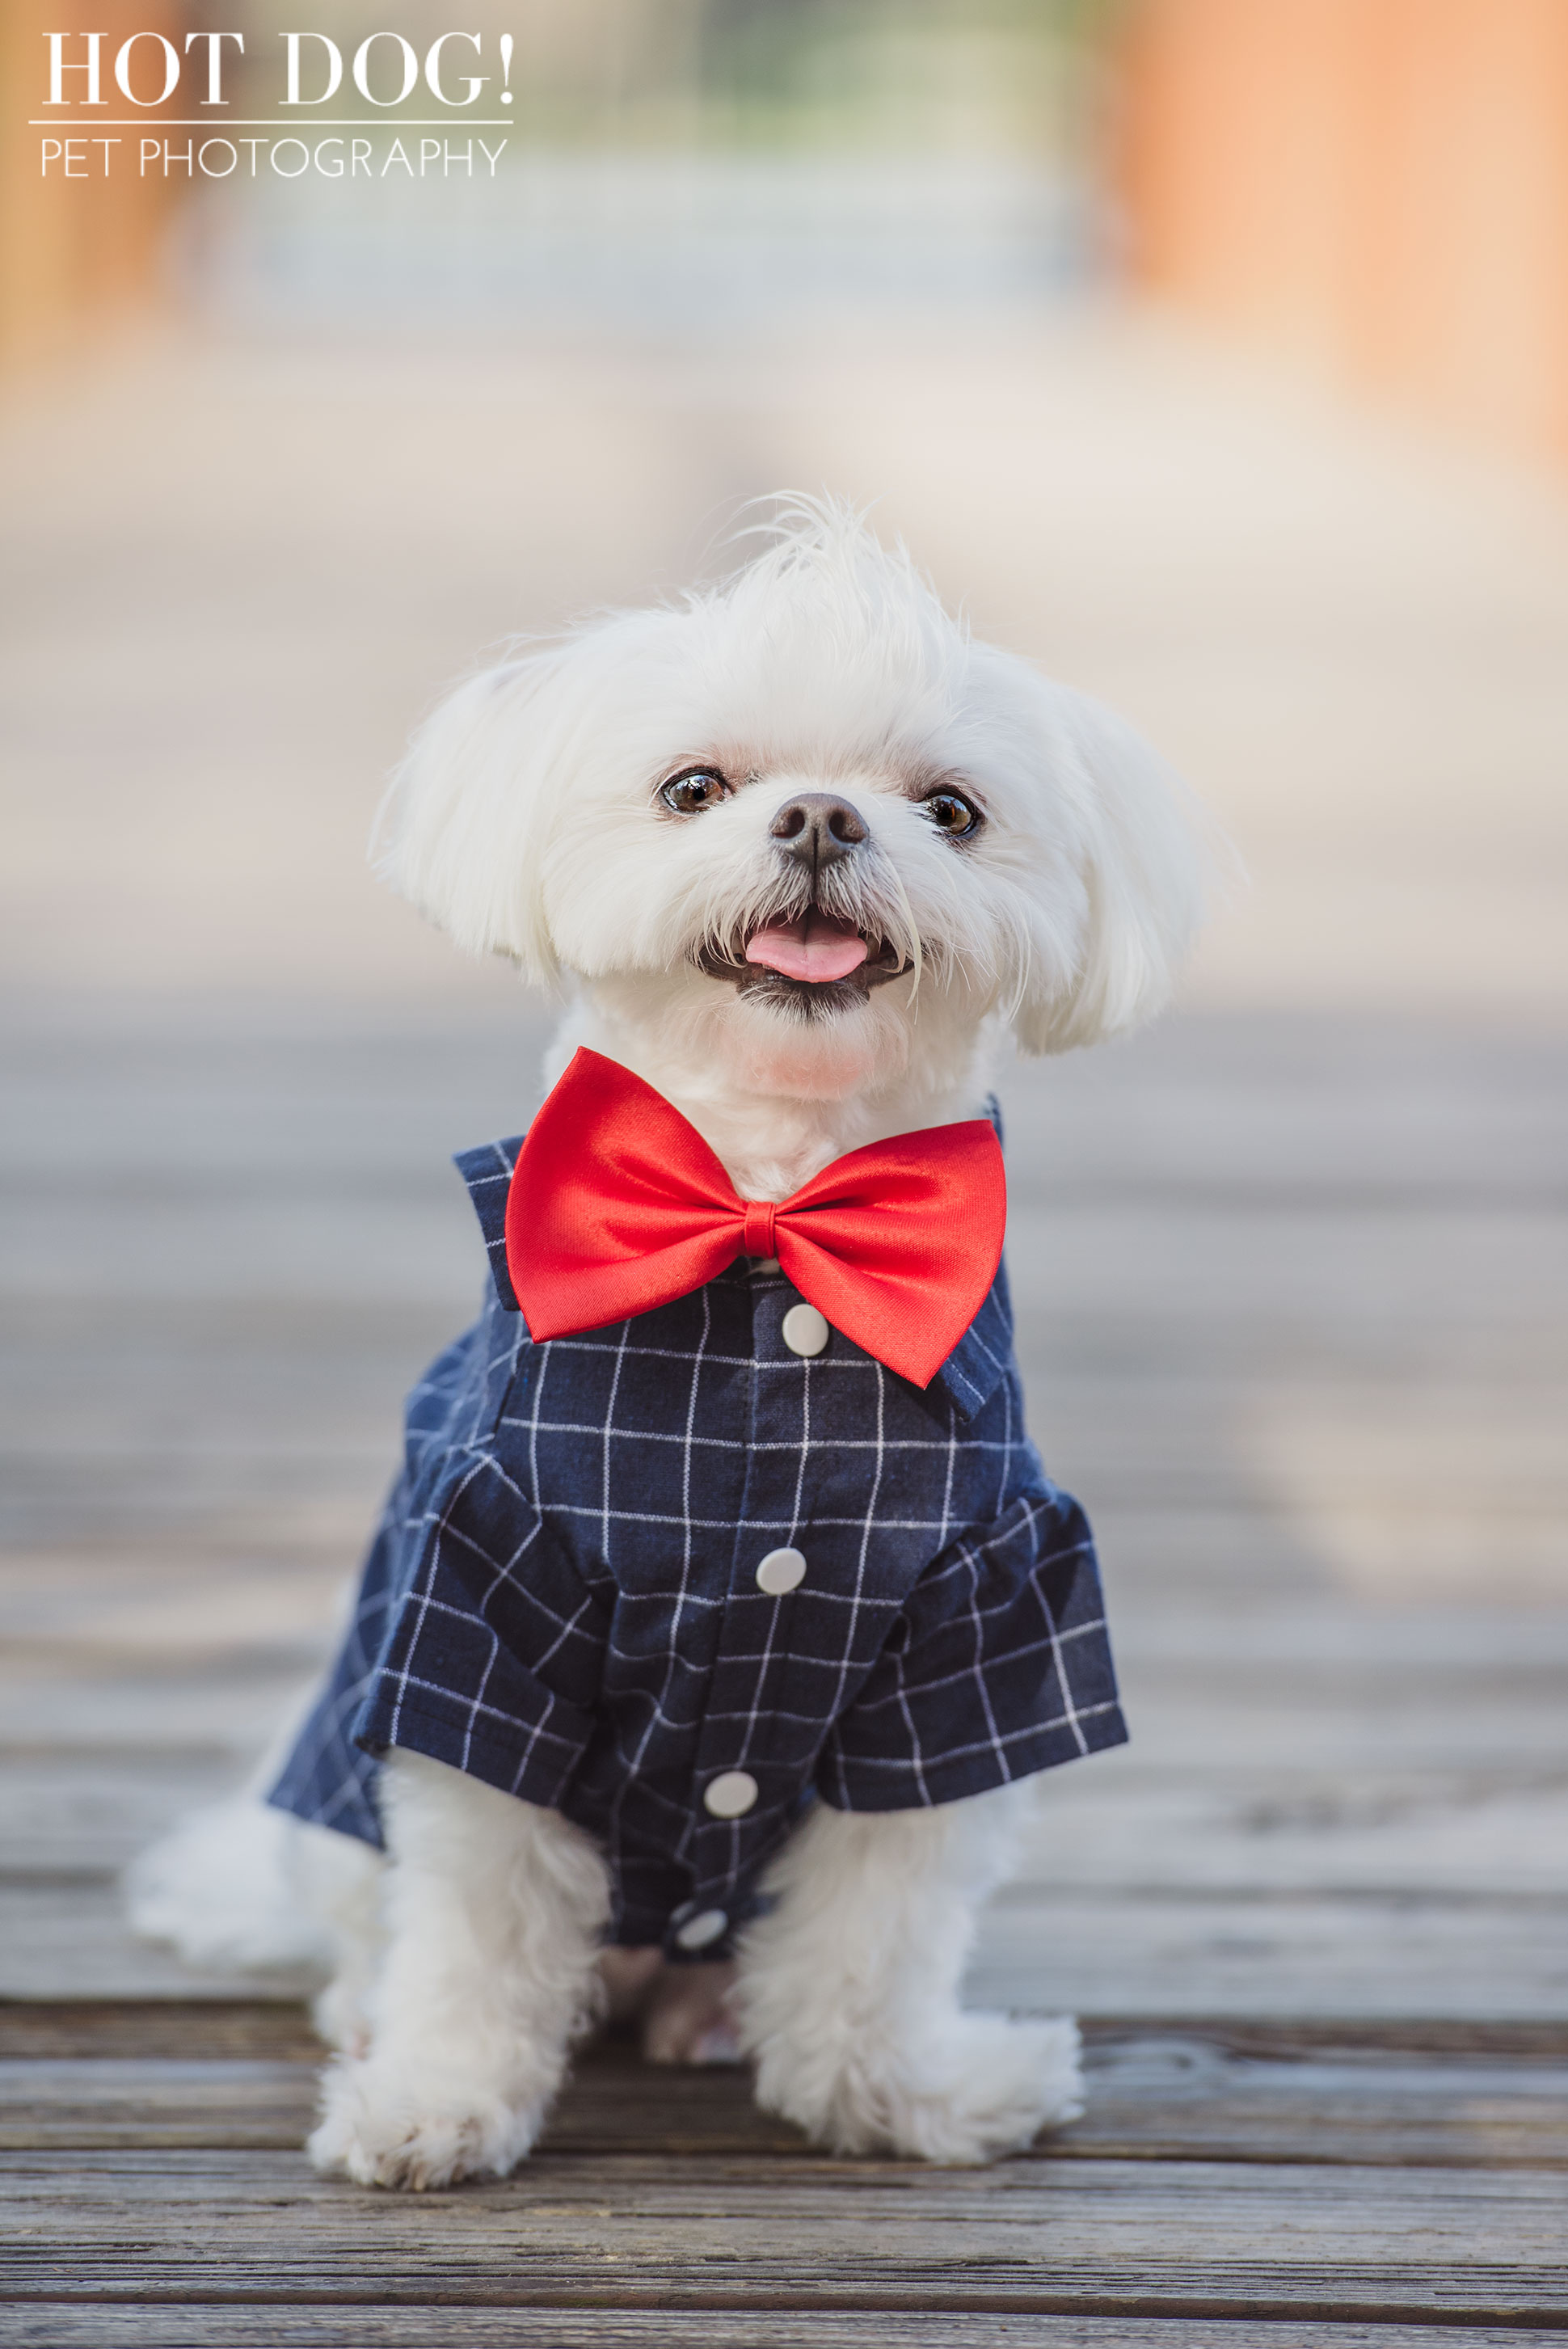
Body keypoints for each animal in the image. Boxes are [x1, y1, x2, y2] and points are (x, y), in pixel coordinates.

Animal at [134, 496, 1211, 2179]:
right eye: (695, 789)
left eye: (952, 811)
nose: (823, 820)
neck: (770, 1209)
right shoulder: (481, 1609)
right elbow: (478, 1924)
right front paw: (437, 2103)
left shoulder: (976, 1627)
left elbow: (876, 1930)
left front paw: (896, 2096)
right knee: (373, 1929)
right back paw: (372, 2016)